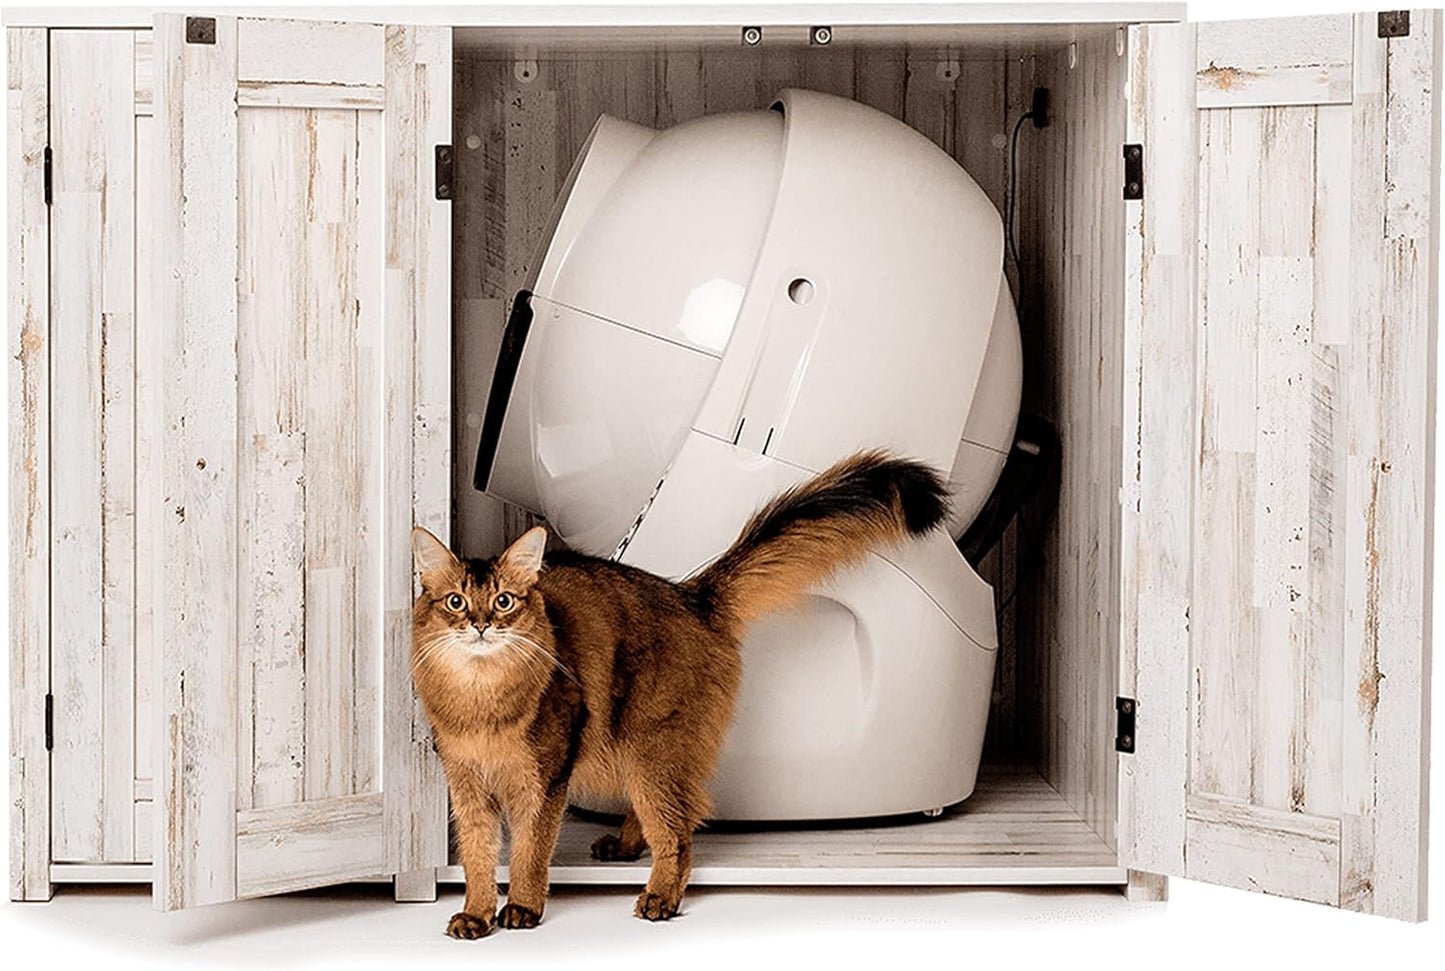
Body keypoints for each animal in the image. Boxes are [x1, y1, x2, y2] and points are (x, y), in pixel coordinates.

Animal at [413, 450, 947, 942]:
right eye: (456, 602)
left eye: (504, 601)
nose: (480, 625)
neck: (482, 700)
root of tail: (694, 596)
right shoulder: (467, 785)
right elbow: (478, 857)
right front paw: (476, 914)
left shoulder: (544, 781)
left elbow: (528, 852)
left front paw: (522, 908)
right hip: (635, 748)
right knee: (655, 813)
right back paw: (625, 847)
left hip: (654, 745)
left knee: (678, 831)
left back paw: (660, 897)